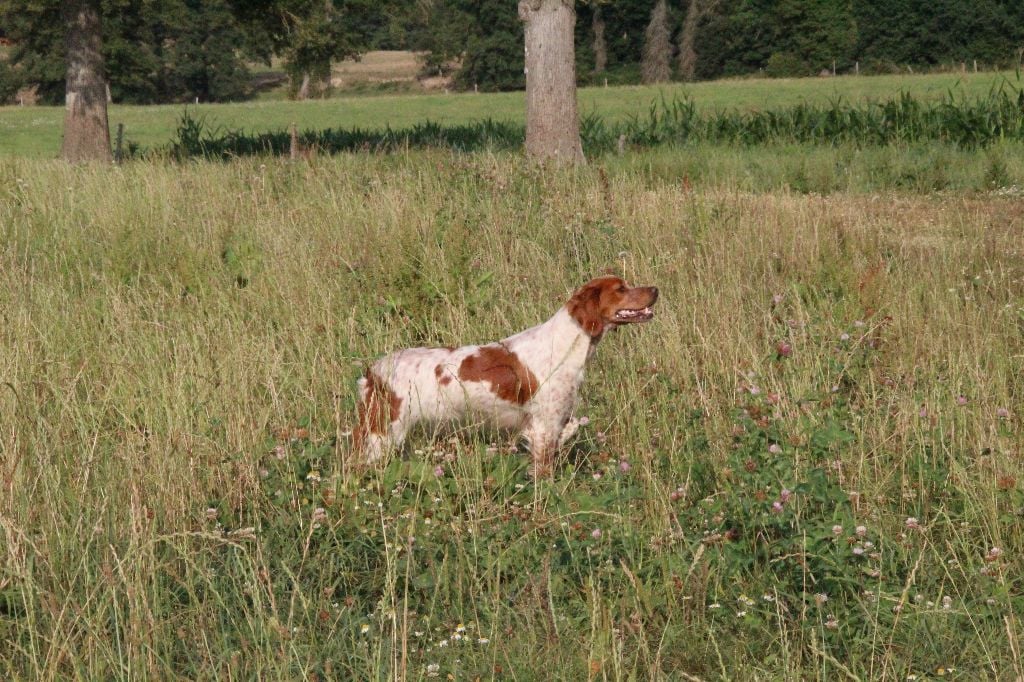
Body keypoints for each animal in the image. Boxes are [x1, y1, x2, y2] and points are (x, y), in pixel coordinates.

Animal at [352, 274, 655, 475]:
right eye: (621, 289)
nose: (656, 289)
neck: (567, 344)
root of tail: (374, 371)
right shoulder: (544, 427)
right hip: (382, 434)